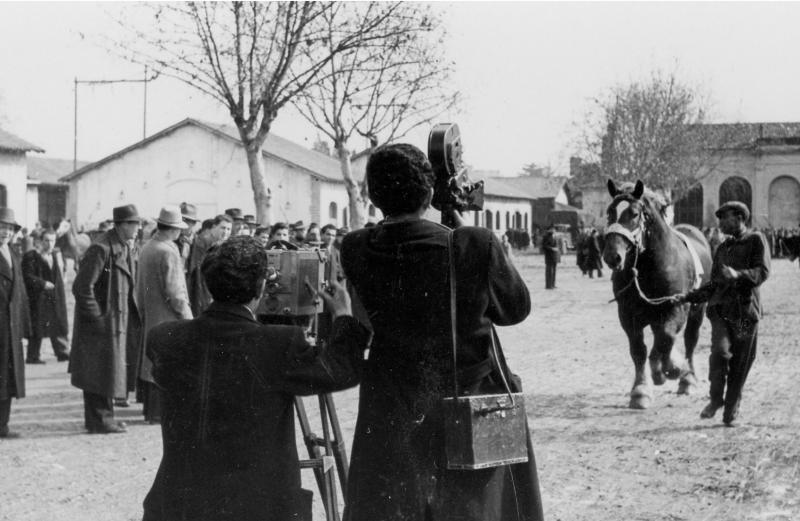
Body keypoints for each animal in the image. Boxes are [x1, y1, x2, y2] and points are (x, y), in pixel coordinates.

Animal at [600, 181, 712, 408]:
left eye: (634, 214)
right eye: (609, 213)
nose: (612, 256)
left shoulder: (676, 307)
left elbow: (666, 338)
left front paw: (671, 369)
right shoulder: (628, 315)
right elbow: (639, 350)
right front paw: (640, 391)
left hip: (697, 310)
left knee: (690, 340)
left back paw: (687, 379)